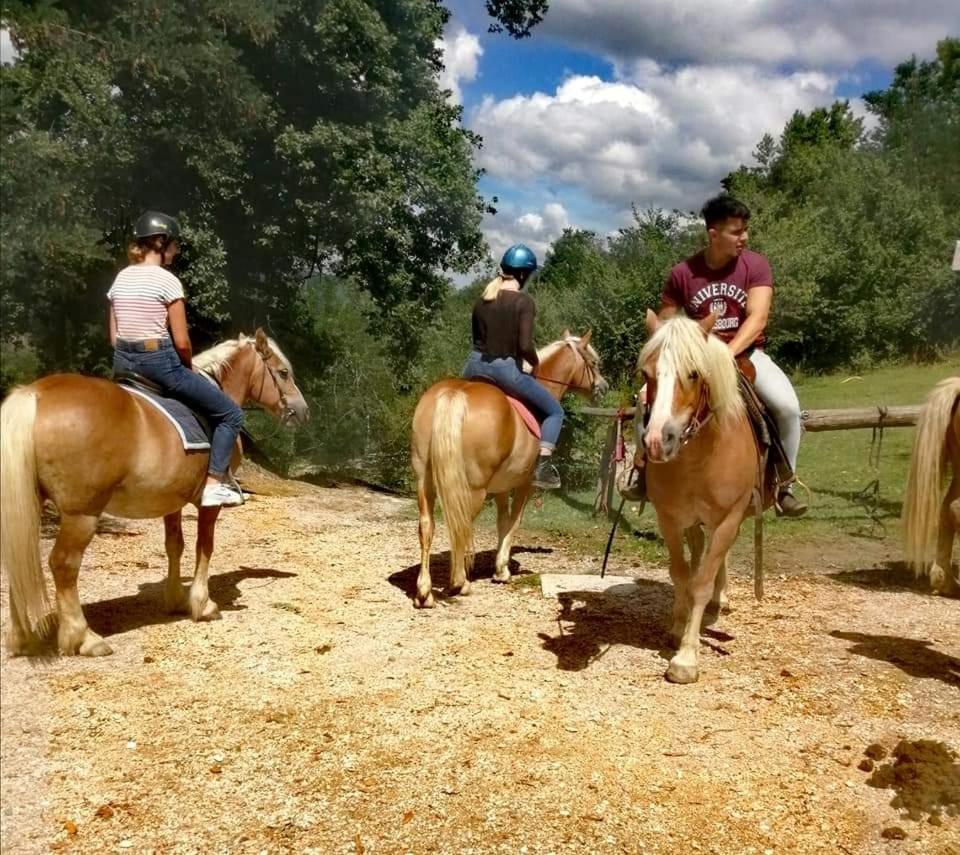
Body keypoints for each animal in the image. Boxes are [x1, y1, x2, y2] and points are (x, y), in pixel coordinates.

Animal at [0, 328, 308, 656]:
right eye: (283, 372)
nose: (303, 411)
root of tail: (34, 394)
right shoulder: (207, 503)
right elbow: (204, 546)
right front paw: (202, 604)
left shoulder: (171, 500)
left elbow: (175, 545)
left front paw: (175, 600)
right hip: (81, 514)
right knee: (64, 565)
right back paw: (83, 637)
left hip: (28, 506)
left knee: (19, 561)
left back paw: (23, 638)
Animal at [406, 330, 604, 608]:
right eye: (594, 362)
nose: (602, 387)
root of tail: (455, 394)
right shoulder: (524, 484)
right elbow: (514, 521)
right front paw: (502, 570)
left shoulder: (501, 486)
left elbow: (502, 521)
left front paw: (499, 567)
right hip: (473, 490)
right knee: (461, 526)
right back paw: (459, 583)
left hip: (424, 483)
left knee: (427, 527)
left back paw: (424, 592)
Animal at [636, 310, 756, 684]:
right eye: (646, 374)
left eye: (693, 373)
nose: (657, 441)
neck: (699, 458)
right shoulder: (670, 518)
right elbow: (680, 573)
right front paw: (677, 628)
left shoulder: (729, 518)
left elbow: (702, 582)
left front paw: (686, 658)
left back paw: (720, 598)